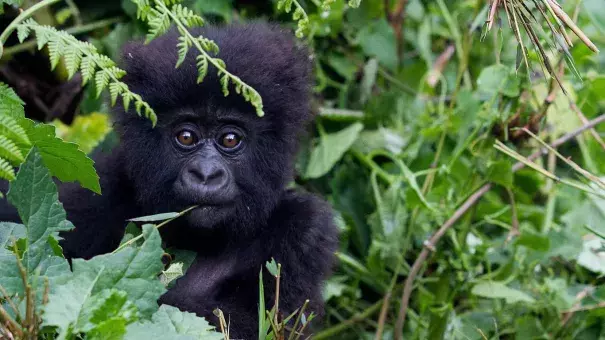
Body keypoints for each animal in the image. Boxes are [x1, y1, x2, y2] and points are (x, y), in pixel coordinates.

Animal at [53, 23, 336, 338]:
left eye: (230, 139)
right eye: (186, 137)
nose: (206, 174)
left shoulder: (306, 230)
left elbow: (263, 324)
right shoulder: (96, 190)